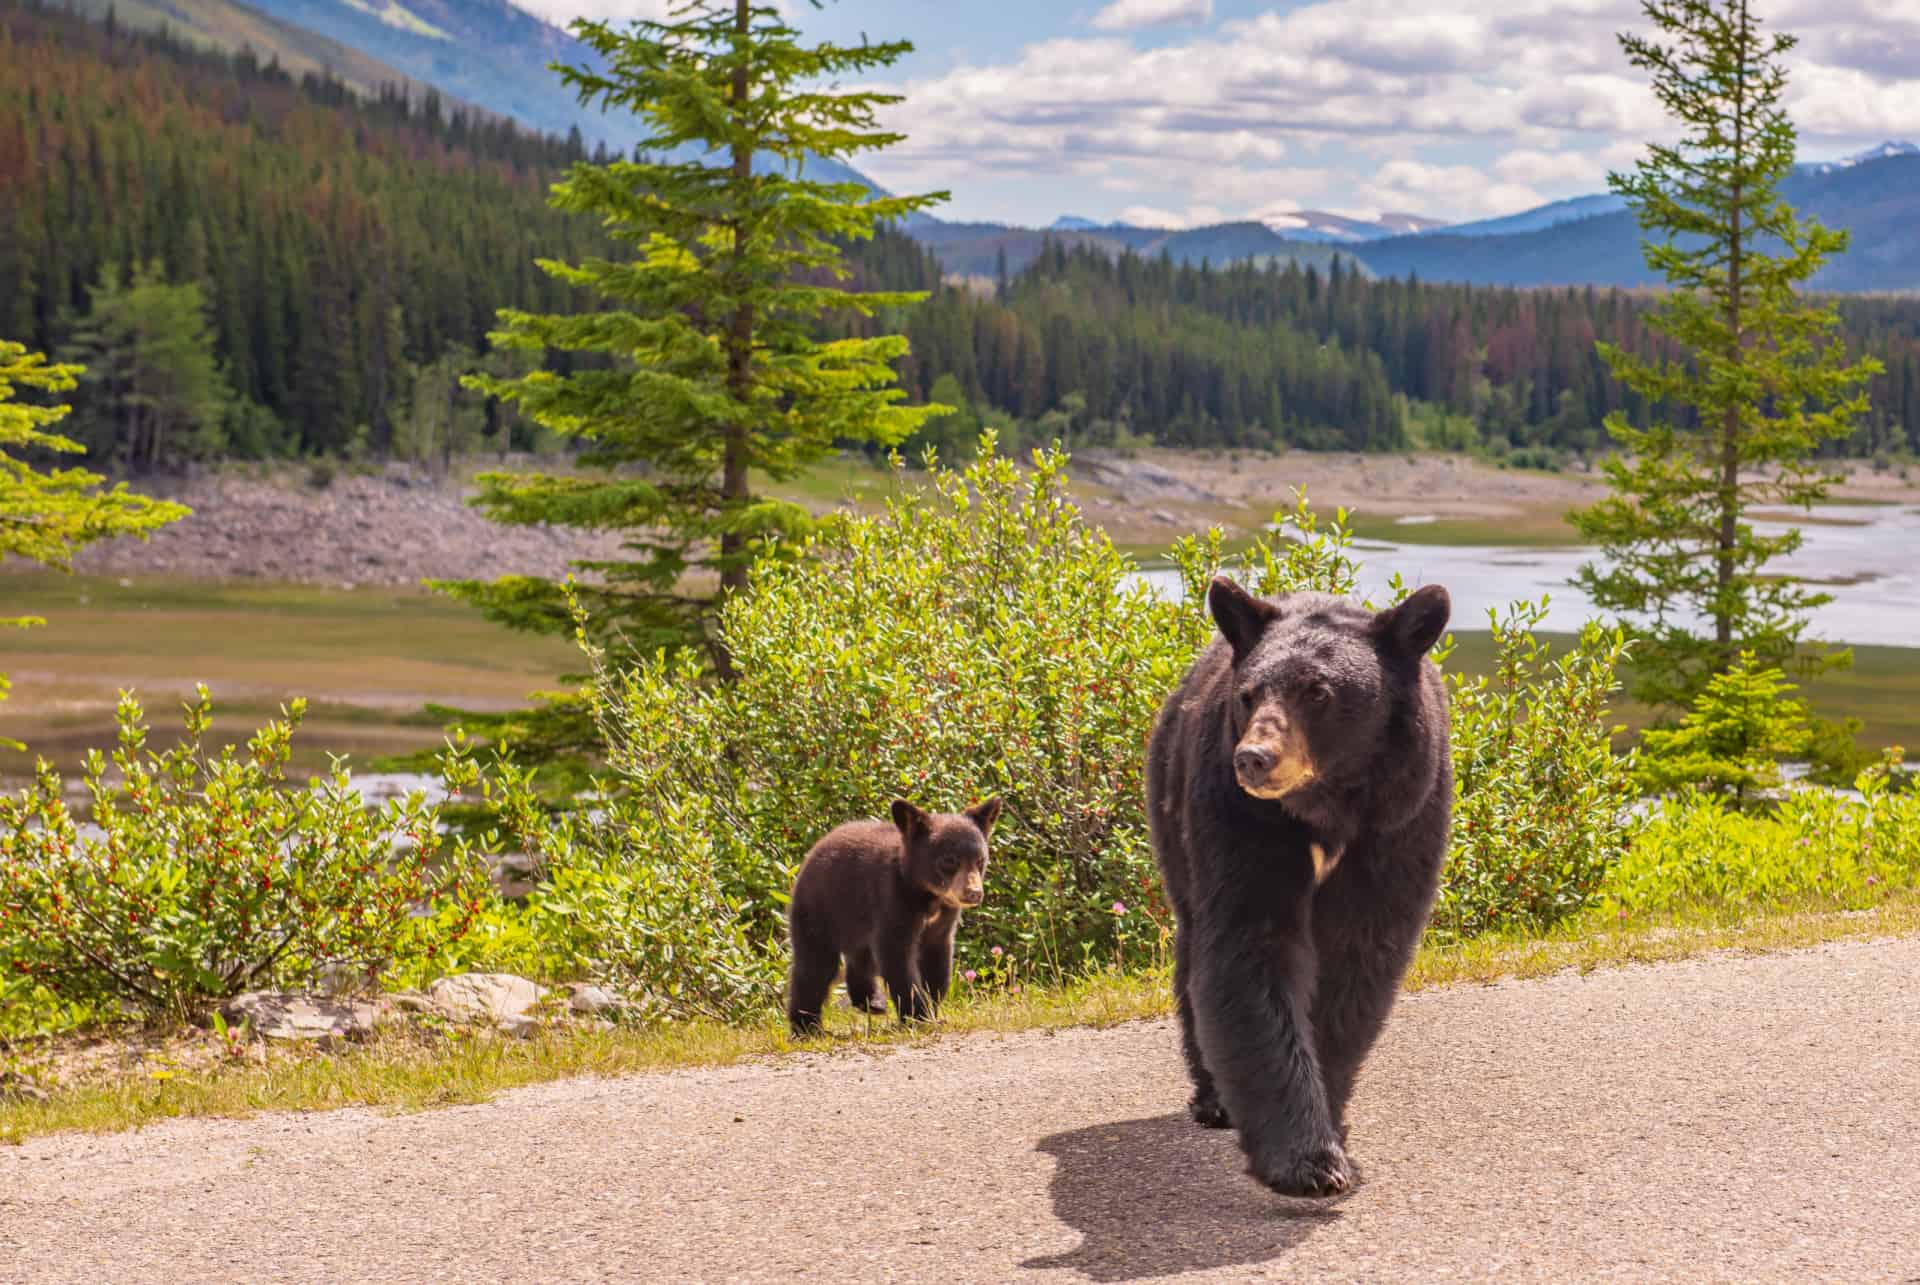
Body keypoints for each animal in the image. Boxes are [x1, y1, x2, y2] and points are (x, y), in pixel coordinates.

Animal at [791, 795, 1013, 1037]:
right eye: (950, 860)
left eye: (980, 860)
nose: (973, 893)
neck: (928, 895)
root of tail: (811, 853)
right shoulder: (893, 901)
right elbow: (898, 957)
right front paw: (919, 1017)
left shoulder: (943, 920)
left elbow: (937, 960)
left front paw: (932, 1009)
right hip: (819, 910)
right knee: (815, 965)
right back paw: (806, 1027)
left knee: (860, 957)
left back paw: (873, 1003)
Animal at [1144, 576, 1443, 1198]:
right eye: (1248, 694)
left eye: (1318, 691)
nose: (1254, 759)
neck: (1326, 805)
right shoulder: (1241, 817)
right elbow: (1252, 948)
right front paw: (1307, 1159)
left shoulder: (1401, 817)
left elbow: (1357, 958)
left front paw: (1330, 1125)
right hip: (1171, 800)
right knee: (1192, 940)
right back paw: (1212, 1098)